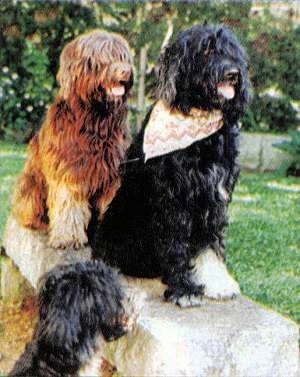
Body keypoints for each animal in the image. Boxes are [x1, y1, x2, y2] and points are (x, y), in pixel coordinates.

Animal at [12, 30, 132, 248]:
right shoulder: (68, 168)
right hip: (30, 186)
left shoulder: (113, 172)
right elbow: (68, 202)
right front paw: (69, 237)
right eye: (104, 56)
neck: (95, 118)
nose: (125, 72)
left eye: (123, 57)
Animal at [90, 22, 250, 306]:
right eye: (206, 49)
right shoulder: (174, 197)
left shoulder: (215, 195)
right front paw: (184, 288)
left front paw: (217, 282)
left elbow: (210, 242)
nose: (233, 73)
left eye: (232, 51)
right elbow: (176, 245)